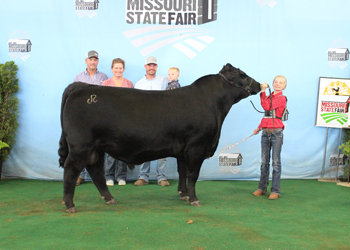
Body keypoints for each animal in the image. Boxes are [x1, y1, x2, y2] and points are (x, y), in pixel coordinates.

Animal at [58, 63, 260, 212]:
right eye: (242, 75)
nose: (259, 84)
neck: (213, 104)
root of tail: (81, 86)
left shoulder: (183, 151)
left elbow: (182, 172)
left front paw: (183, 194)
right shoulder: (197, 147)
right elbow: (193, 174)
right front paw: (194, 199)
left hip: (96, 148)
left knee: (96, 171)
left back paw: (109, 199)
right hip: (81, 145)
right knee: (71, 169)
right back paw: (70, 204)